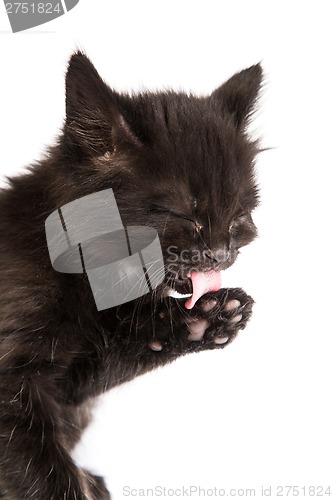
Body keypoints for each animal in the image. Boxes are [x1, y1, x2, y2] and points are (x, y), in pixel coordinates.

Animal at [0, 51, 262, 500]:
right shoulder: (10, 383)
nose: (220, 254)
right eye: (183, 216)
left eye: (238, 217)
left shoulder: (69, 386)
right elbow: (42, 472)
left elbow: (119, 348)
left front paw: (209, 316)